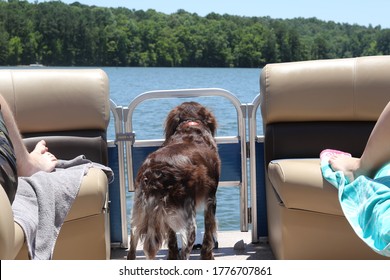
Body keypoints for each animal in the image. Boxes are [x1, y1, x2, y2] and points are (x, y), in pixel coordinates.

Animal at [127, 101, 221, 260]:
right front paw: (208, 256)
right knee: (185, 252)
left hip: (139, 213)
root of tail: (155, 173)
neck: (191, 126)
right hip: (188, 223)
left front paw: (171, 256)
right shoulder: (211, 198)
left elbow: (171, 241)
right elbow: (208, 234)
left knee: (132, 246)